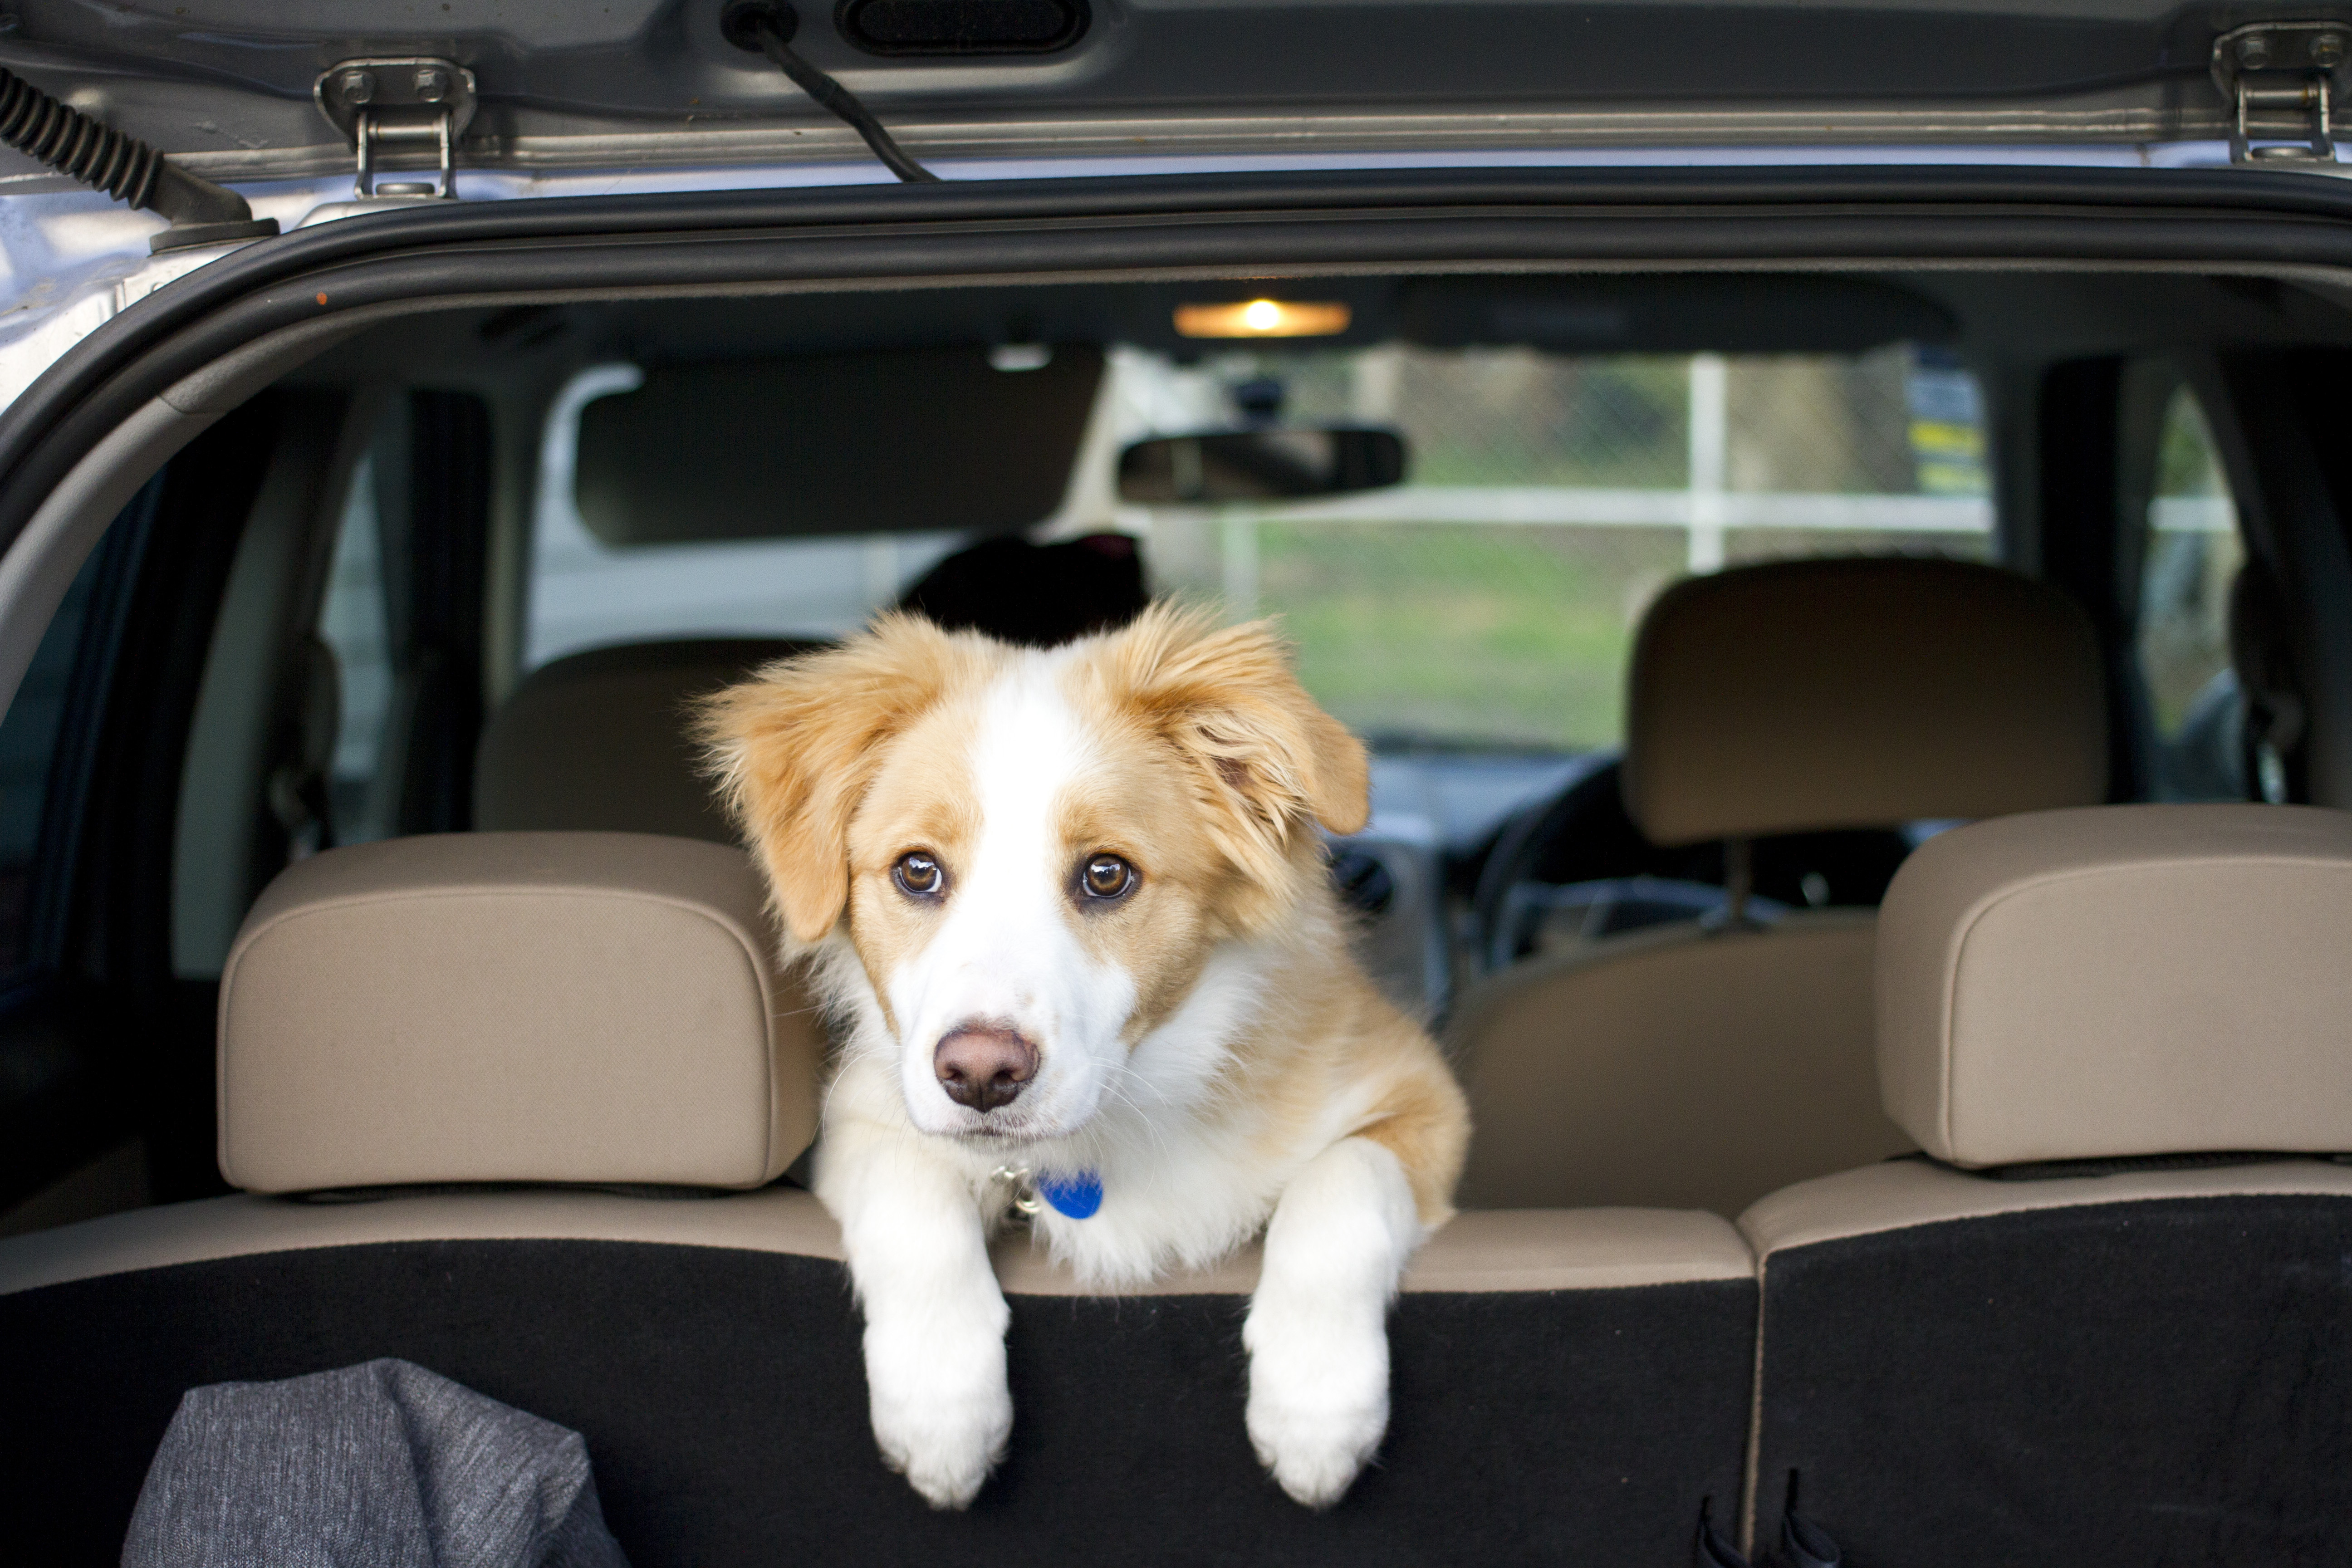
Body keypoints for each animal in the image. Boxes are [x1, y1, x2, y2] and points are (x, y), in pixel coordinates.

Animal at [696, 602, 1467, 1504]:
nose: (980, 1077)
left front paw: (1316, 1403)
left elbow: (1342, 1183)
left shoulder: (1422, 1095)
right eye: (917, 871)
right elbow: (909, 1188)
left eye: (1107, 875)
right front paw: (941, 1404)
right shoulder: (864, 1113)